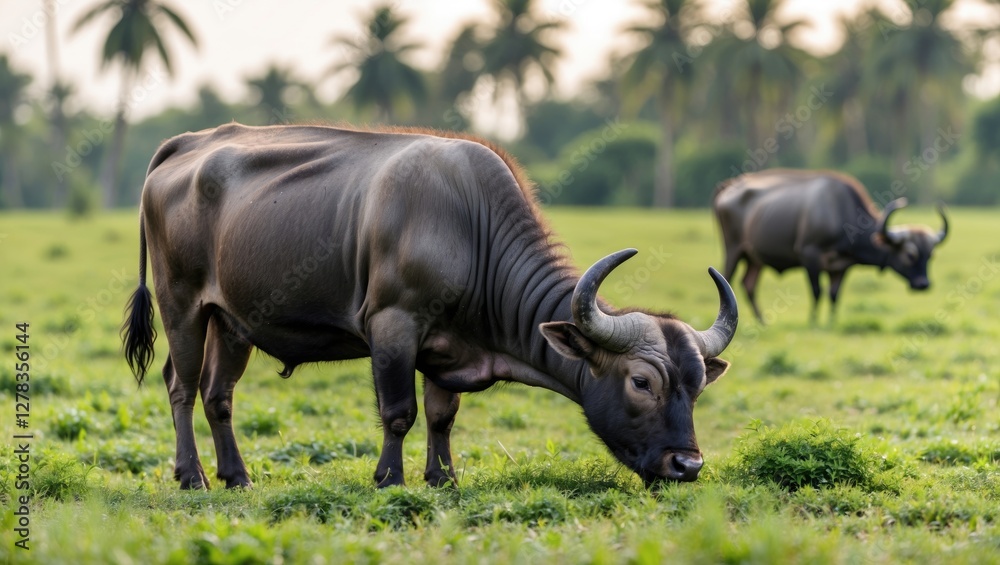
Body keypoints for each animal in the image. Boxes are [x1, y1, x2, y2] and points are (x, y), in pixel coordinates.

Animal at [122, 123, 738, 489]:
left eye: (697, 386)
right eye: (641, 382)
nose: (688, 464)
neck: (471, 228)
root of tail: (189, 144)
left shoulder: (447, 352)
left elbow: (442, 417)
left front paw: (442, 479)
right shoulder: (393, 326)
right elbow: (400, 412)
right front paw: (389, 479)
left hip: (232, 323)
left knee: (218, 395)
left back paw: (237, 476)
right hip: (182, 305)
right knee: (180, 385)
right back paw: (192, 475)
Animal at [713, 168, 948, 323]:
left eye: (930, 255)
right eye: (909, 254)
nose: (923, 284)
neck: (841, 213)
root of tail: (730, 187)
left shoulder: (842, 266)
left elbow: (834, 295)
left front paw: (832, 321)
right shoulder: (810, 257)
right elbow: (817, 291)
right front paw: (814, 321)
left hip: (755, 259)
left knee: (748, 284)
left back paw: (762, 320)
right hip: (732, 248)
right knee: (729, 278)